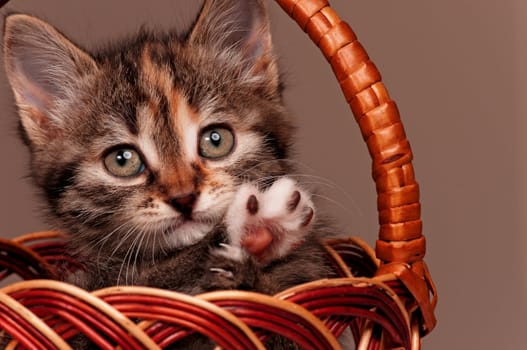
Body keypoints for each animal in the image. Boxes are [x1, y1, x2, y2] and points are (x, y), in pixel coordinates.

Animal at [4, 0, 332, 318]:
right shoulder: (101, 288)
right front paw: (258, 226)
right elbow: (164, 277)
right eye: (122, 160)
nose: (184, 198)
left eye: (216, 140)